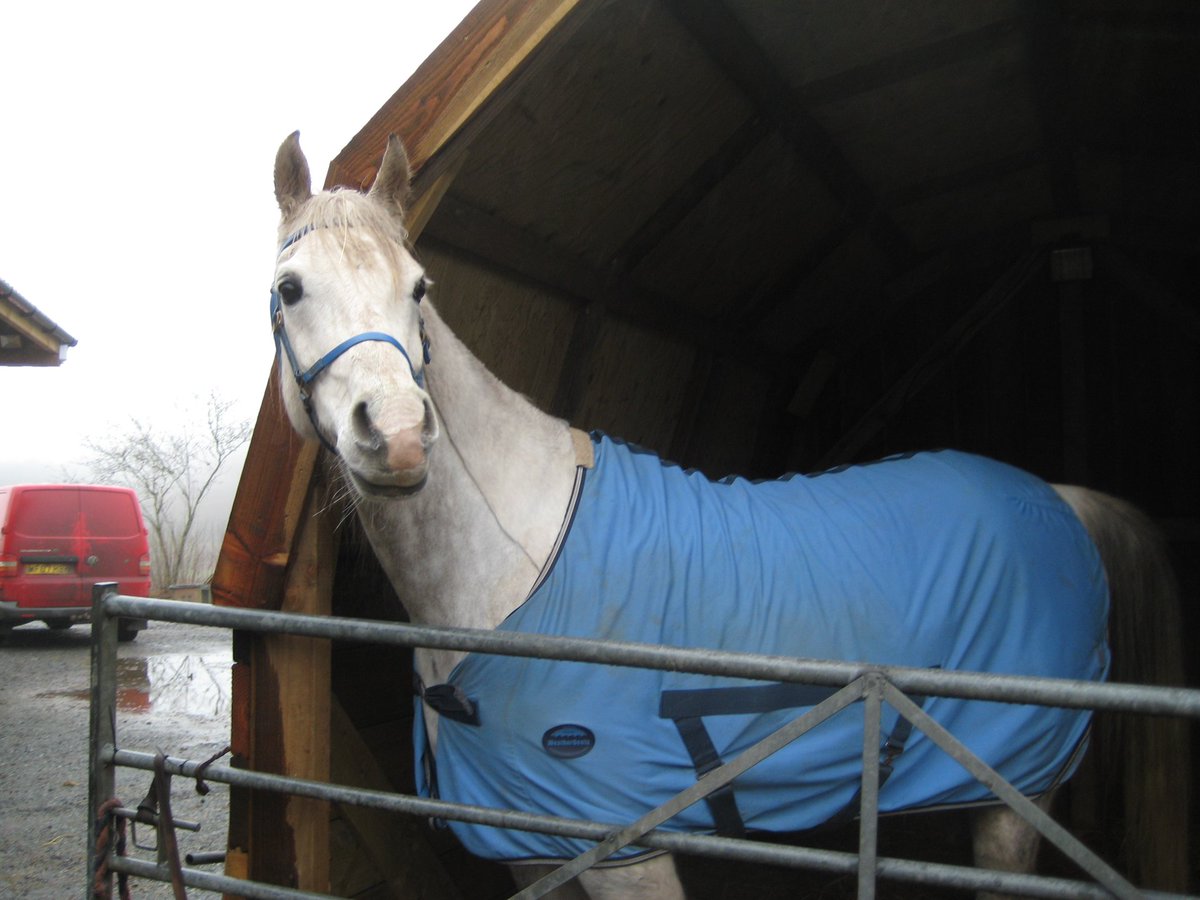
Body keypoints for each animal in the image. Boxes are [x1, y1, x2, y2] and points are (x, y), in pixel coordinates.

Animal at [268, 131, 1188, 899]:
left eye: (420, 287)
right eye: (289, 288)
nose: (397, 436)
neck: (515, 567)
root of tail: (1061, 499)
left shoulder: (627, 851)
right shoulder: (529, 849)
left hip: (1013, 794)